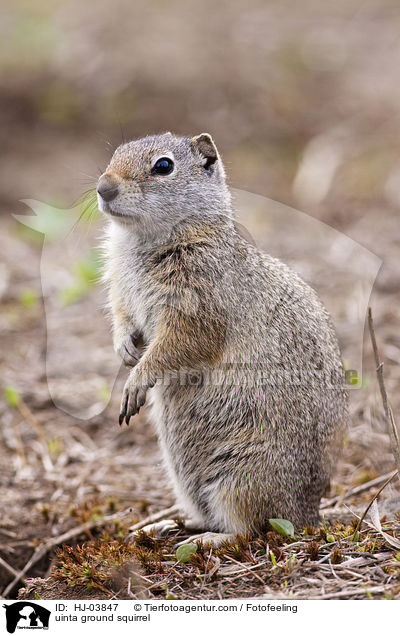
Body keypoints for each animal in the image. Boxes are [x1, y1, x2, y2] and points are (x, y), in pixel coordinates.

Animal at [97, 132, 346, 544]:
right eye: (115, 153)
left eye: (163, 166)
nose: (104, 187)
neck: (142, 240)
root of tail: (310, 515)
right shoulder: (122, 294)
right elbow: (122, 319)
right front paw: (124, 350)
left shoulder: (196, 307)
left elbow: (179, 344)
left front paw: (136, 380)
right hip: (186, 478)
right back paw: (164, 525)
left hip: (243, 475)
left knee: (252, 529)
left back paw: (208, 539)